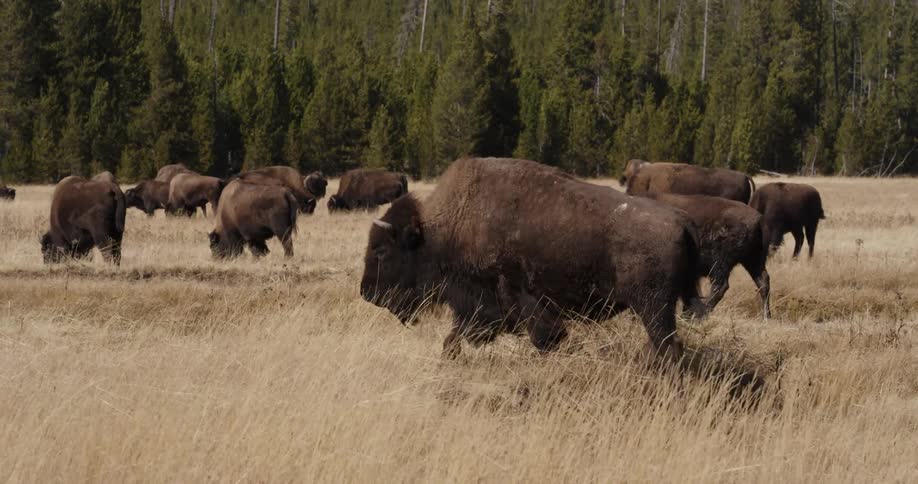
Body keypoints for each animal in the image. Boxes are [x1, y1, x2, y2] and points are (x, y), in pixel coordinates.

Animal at [360, 157, 704, 361]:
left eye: (381, 251)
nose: (367, 293)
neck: (443, 230)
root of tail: (682, 221)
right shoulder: (478, 307)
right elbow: (455, 336)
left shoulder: (521, 301)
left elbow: (544, 338)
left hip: (653, 307)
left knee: (668, 346)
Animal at [641, 193, 770, 319]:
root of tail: (757, 219)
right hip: (752, 259)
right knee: (763, 281)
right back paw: (766, 316)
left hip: (720, 262)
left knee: (720, 286)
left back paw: (701, 314)